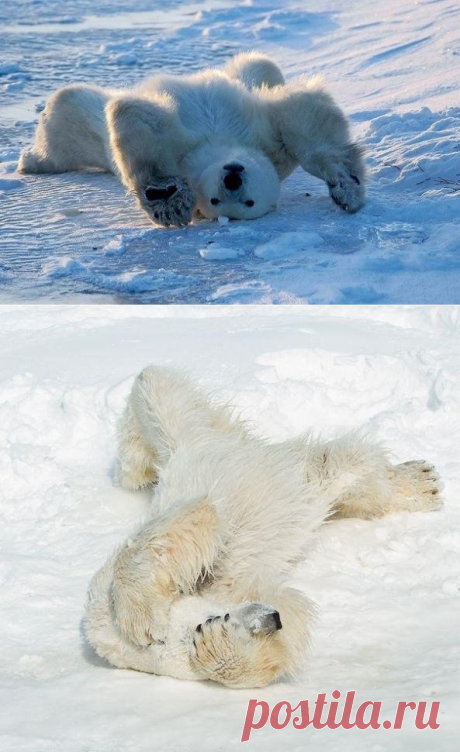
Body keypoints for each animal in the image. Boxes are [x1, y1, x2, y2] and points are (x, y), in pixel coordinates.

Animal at [18, 52, 366, 226]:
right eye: (215, 199)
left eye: (249, 203)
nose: (232, 179)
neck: (218, 145)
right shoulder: (260, 137)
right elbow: (139, 120)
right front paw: (168, 197)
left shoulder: (269, 147)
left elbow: (307, 123)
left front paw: (345, 186)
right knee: (68, 105)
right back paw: (31, 162)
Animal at [84, 368, 444, 692]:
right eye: (213, 624)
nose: (272, 620)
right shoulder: (245, 590)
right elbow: (293, 615)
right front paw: (226, 652)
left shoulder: (111, 580)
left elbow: (196, 518)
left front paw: (141, 618)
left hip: (216, 447)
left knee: (151, 383)